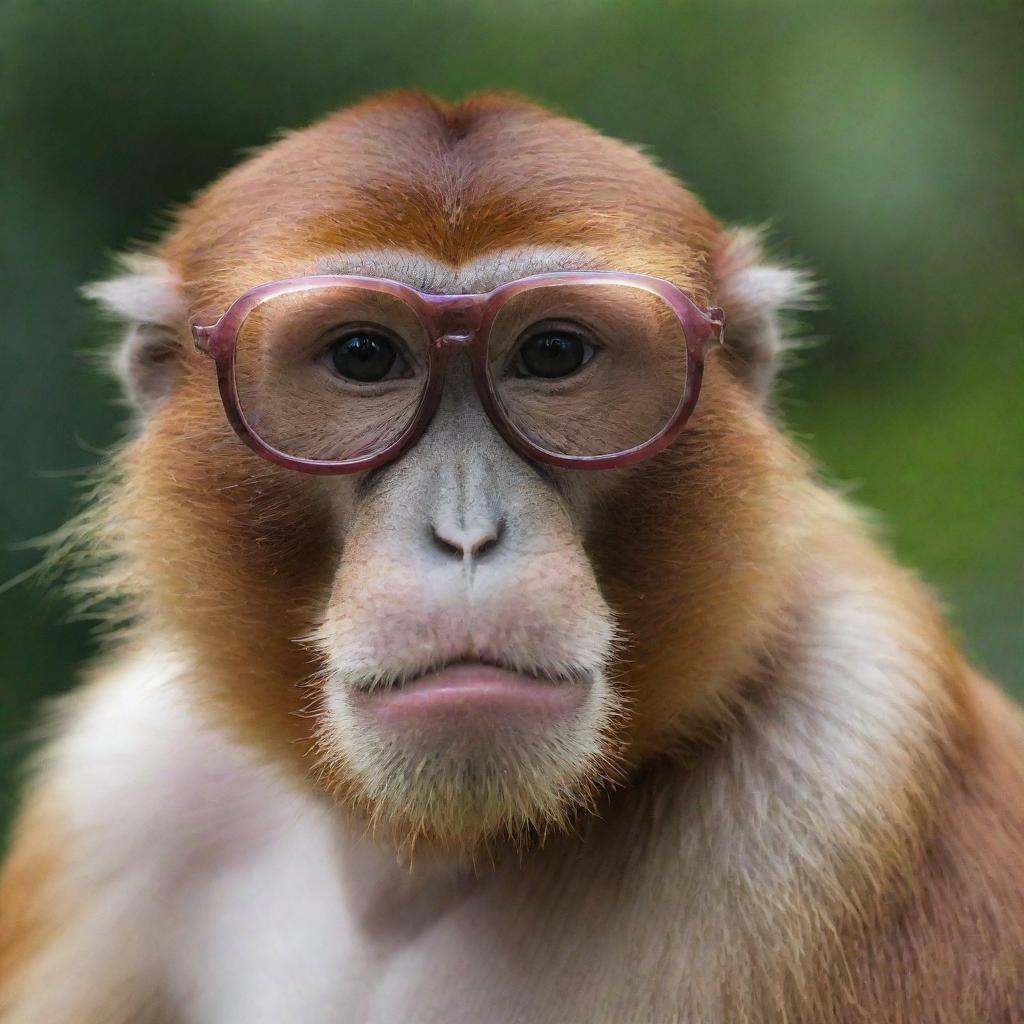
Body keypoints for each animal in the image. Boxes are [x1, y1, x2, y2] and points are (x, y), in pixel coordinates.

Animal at [0, 92, 1019, 1019]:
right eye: (364, 356)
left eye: (554, 353)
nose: (465, 534)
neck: (422, 865)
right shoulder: (123, 781)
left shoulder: (843, 760)